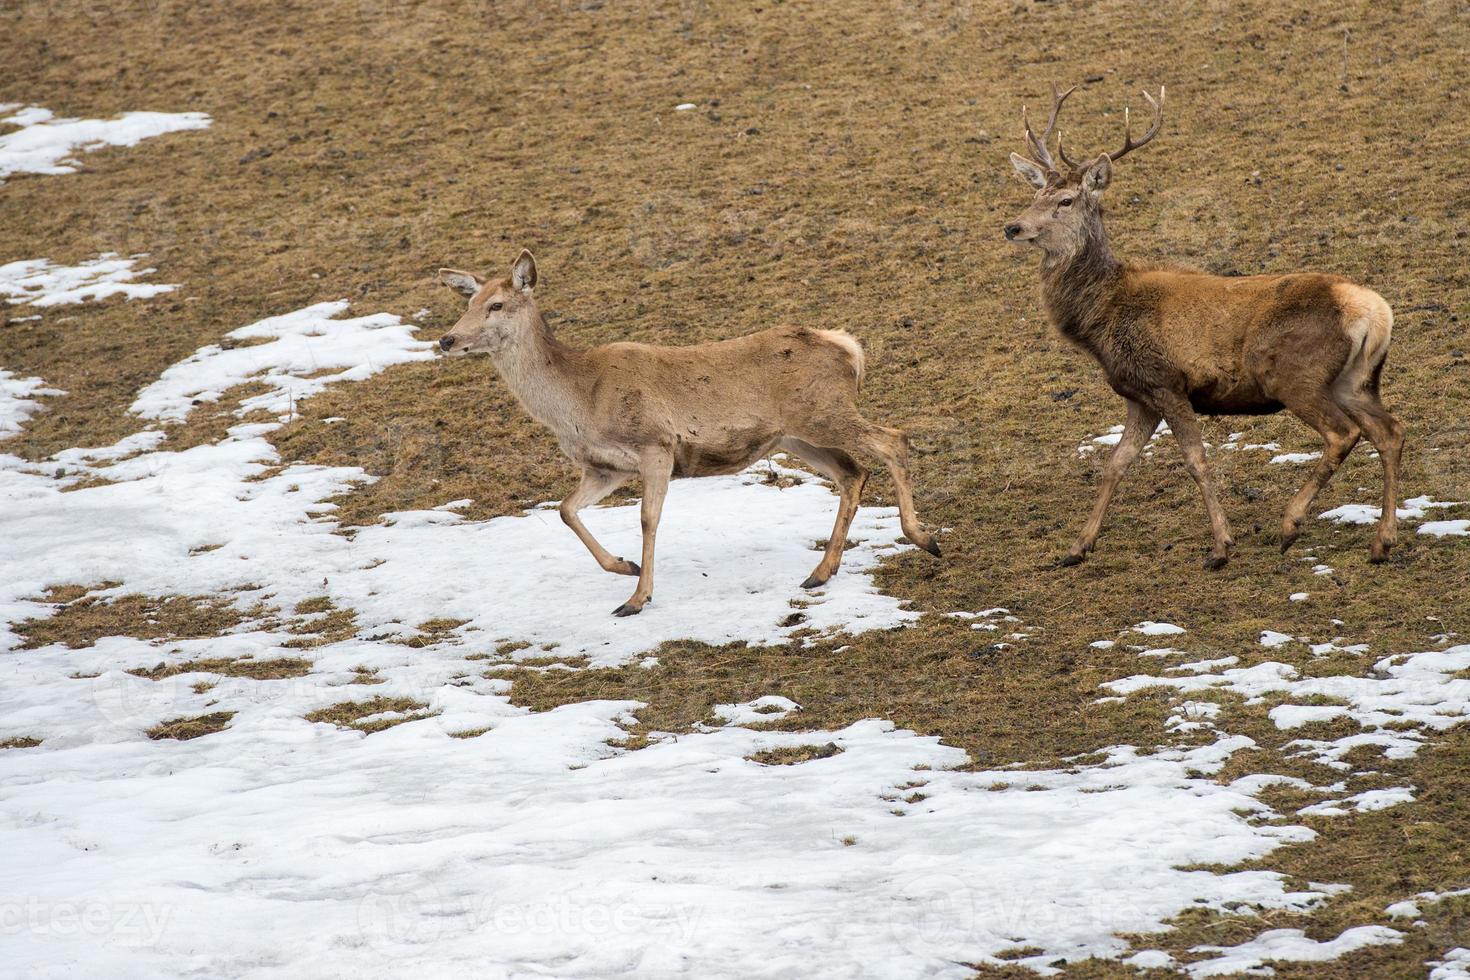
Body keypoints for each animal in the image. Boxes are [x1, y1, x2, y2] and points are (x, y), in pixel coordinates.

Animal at [435, 249, 940, 617]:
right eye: (468, 303)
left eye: (497, 304)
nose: (447, 339)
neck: (579, 399)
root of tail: (849, 349)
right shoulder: (604, 467)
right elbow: (565, 510)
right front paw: (623, 566)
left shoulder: (655, 444)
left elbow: (647, 519)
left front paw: (637, 598)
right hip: (795, 436)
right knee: (853, 472)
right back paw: (821, 571)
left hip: (823, 412)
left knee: (893, 439)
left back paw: (922, 538)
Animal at [999, 88, 1399, 570]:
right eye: (1037, 193)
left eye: (1066, 201)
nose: (1013, 226)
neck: (1101, 319)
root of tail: (1374, 311)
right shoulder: (1138, 395)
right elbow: (1116, 462)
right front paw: (1077, 547)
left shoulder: (1166, 381)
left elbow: (1196, 460)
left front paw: (1221, 546)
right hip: (1356, 381)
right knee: (1389, 432)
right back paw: (1382, 542)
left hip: (1293, 374)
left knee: (1343, 433)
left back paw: (1291, 523)